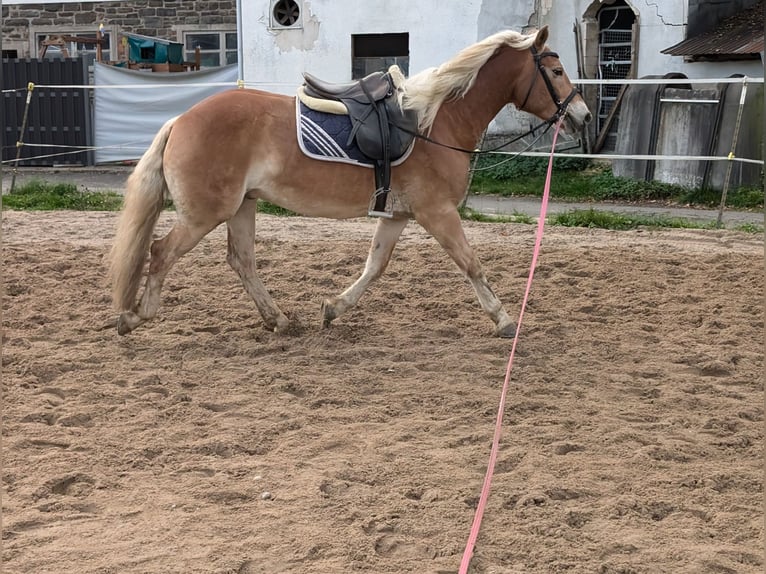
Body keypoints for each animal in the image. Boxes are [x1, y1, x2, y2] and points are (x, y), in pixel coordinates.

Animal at [108, 27, 592, 340]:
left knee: (241, 261)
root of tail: (180, 120)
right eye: (557, 70)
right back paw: (135, 317)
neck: (434, 121)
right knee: (161, 252)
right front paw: (505, 320)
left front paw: (332, 309)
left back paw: (278, 320)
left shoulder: (398, 215)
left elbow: (374, 267)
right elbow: (471, 264)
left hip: (242, 206)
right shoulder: (437, 213)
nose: (583, 116)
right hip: (207, 213)